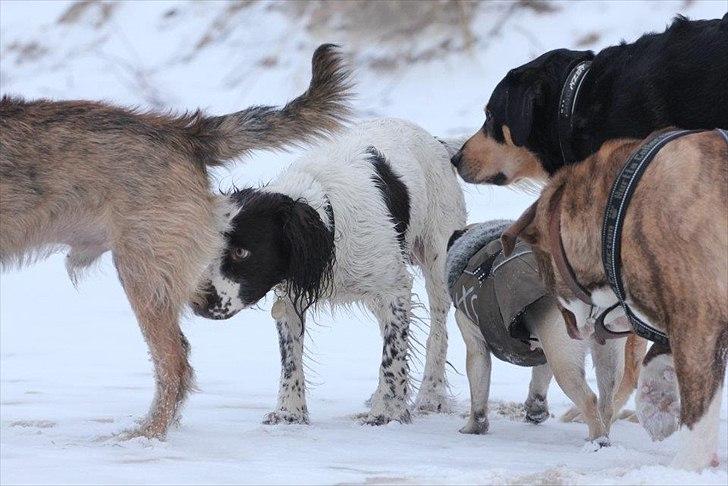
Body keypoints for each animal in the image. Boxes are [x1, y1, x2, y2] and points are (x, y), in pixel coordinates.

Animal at [193, 118, 466, 426]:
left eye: (242, 252)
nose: (196, 303)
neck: (326, 223)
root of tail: (437, 142)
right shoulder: (291, 296)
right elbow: (290, 358)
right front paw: (290, 412)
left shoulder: (394, 289)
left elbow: (393, 353)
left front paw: (387, 411)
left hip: (437, 258)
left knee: (438, 330)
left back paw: (431, 395)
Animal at [500, 129, 728, 470]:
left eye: (545, 274)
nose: (571, 329)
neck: (617, 212)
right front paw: (657, 398)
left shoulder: (697, 316)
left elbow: (698, 412)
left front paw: (686, 466)